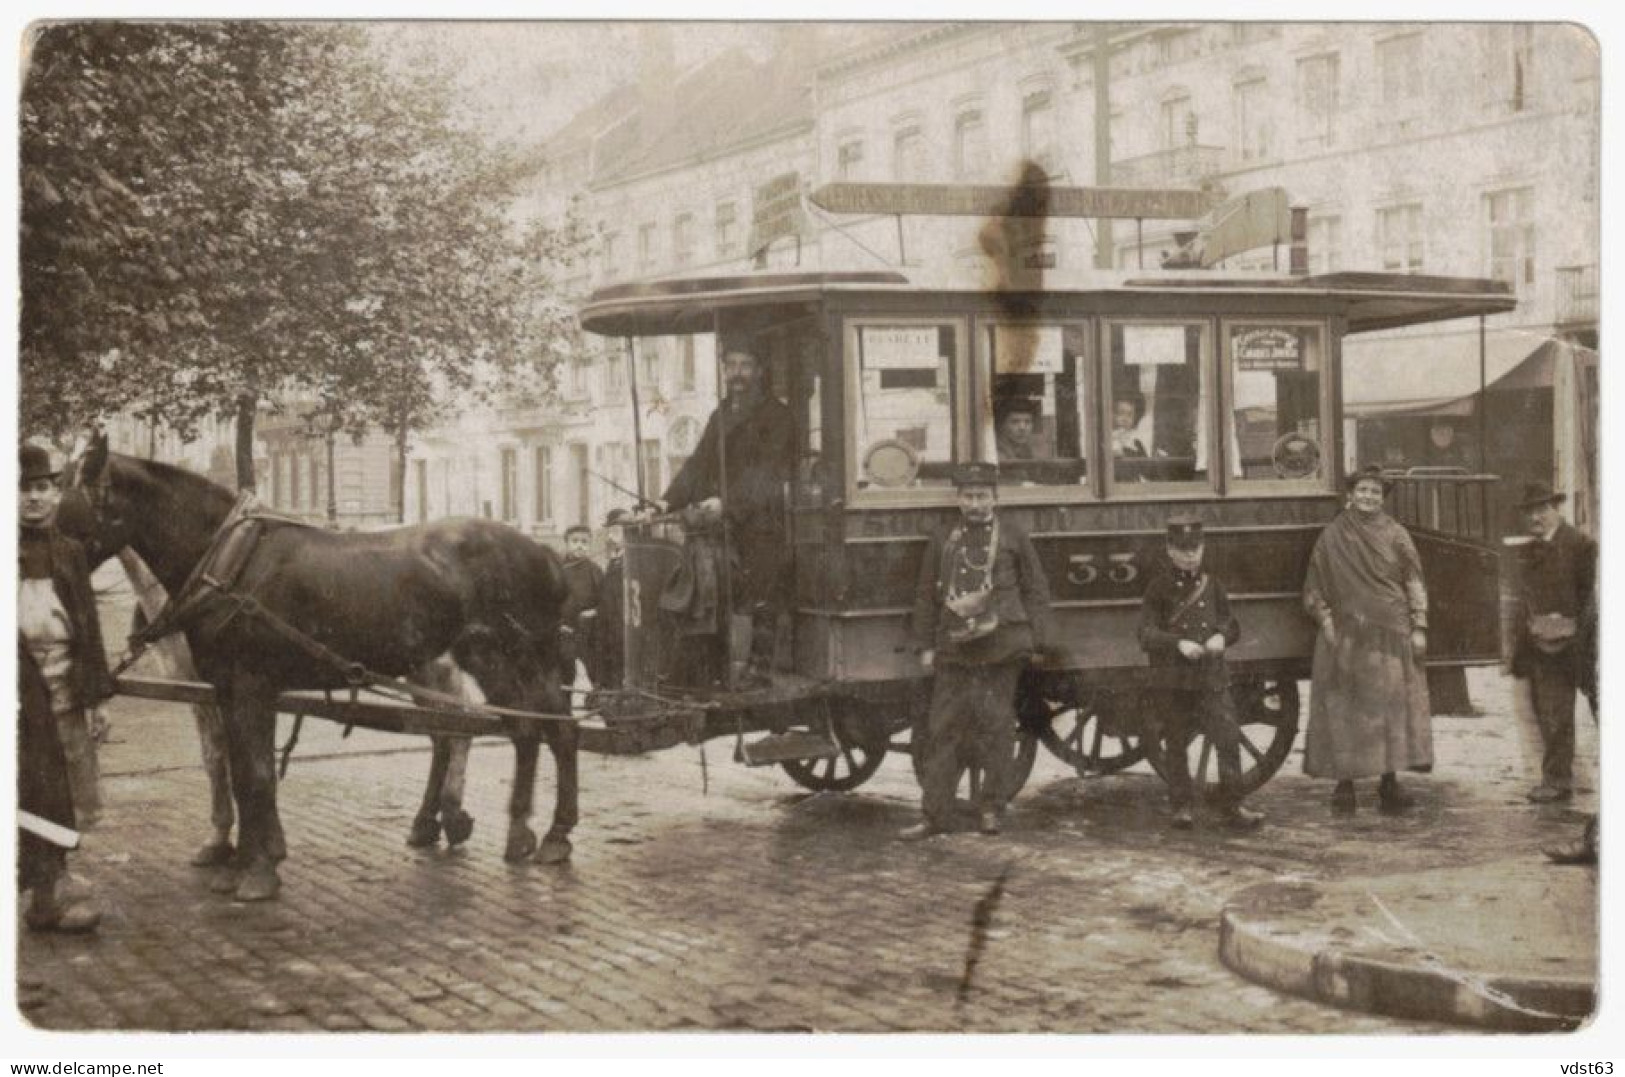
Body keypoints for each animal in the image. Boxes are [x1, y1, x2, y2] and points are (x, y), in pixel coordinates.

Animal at [68, 438, 578, 903]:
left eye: (71, 501)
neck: (230, 563)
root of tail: (546, 554)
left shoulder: (250, 686)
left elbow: (252, 774)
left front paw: (256, 871)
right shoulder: (227, 690)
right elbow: (241, 772)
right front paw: (248, 858)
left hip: (517, 656)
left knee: (551, 727)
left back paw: (551, 834)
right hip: (477, 659)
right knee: (515, 729)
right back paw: (510, 832)